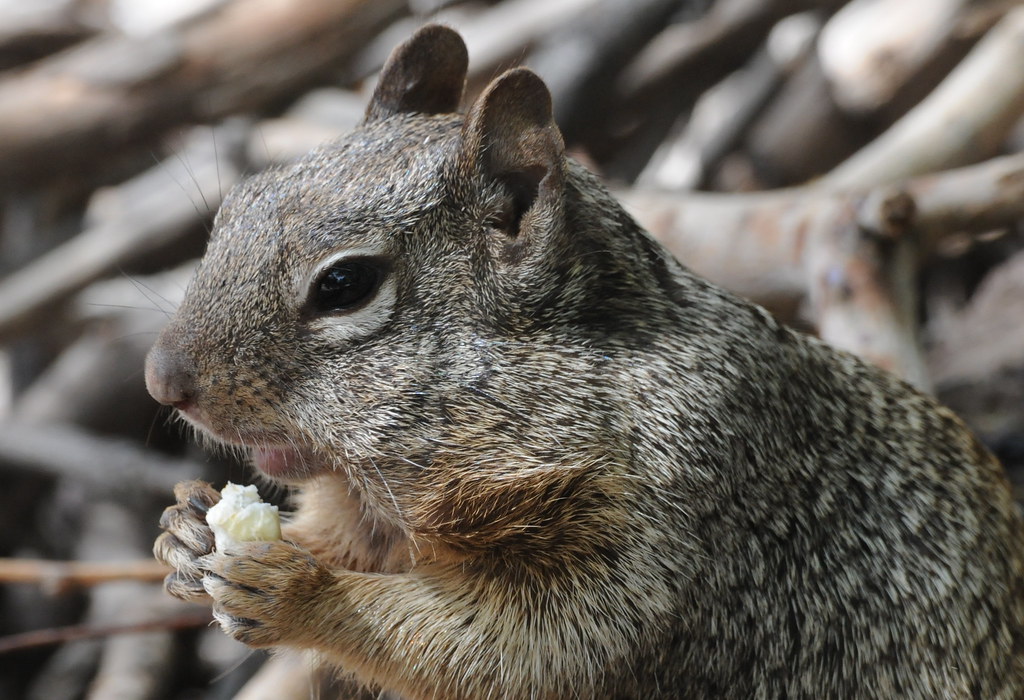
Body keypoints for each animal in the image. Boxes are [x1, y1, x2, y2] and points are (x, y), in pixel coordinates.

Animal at [147, 24, 1024, 699]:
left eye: (344, 285)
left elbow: (516, 650)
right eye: (234, 206)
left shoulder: (652, 541)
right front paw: (187, 529)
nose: (162, 381)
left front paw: (298, 589)